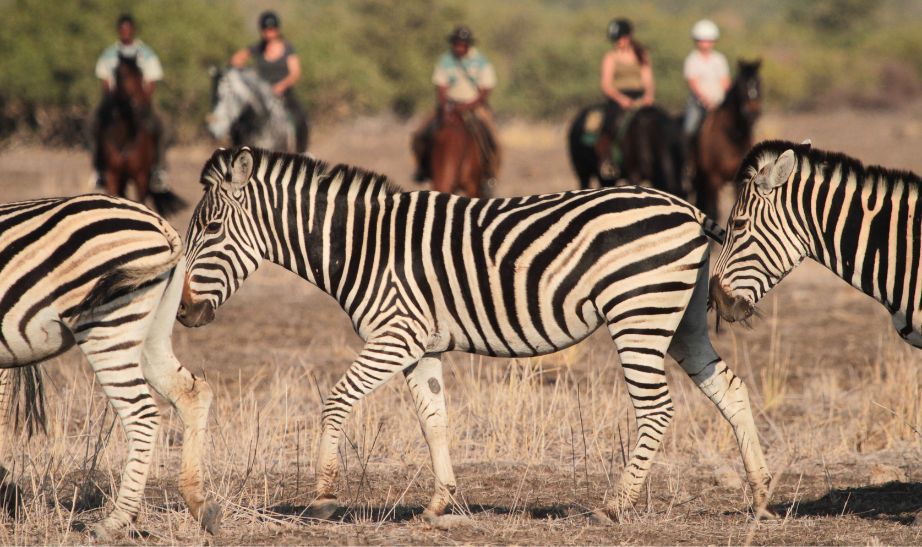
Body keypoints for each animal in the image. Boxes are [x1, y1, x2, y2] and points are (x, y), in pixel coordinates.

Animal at [98, 55, 185, 216]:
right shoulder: (112, 175)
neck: (125, 138)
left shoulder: (141, 177)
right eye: (122, 75)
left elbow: (141, 201)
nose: (138, 104)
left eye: (141, 75)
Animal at [691, 59, 762, 220]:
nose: (753, 114)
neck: (732, 137)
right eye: (742, 86)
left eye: (759, 83)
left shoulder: (739, 182)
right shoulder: (713, 179)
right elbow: (714, 212)